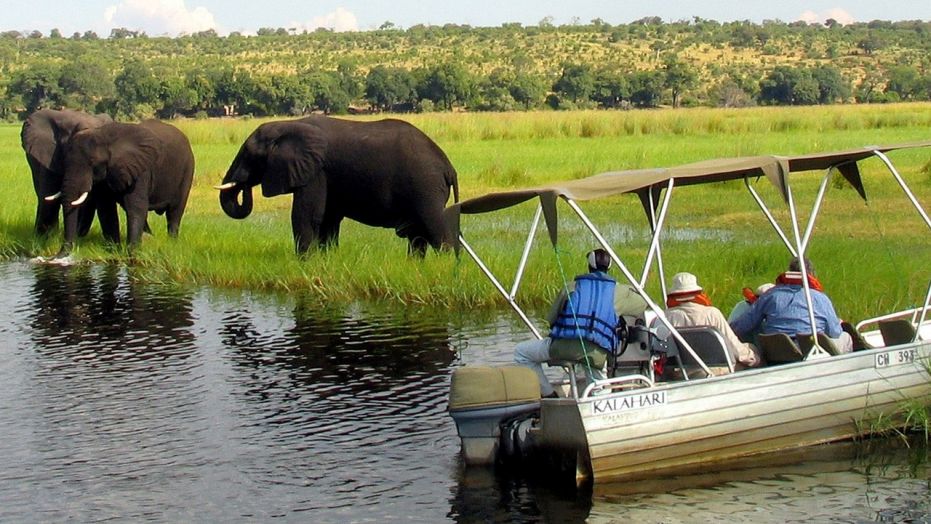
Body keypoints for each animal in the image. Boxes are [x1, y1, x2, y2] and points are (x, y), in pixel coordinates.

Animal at [46, 119, 195, 256]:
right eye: (64, 162)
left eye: (93, 163)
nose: (58, 255)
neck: (104, 136)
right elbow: (106, 208)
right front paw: (114, 251)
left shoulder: (140, 169)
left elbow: (136, 207)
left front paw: (132, 254)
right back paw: (149, 238)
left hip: (187, 169)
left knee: (175, 211)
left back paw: (172, 242)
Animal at [217, 115, 459, 256]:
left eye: (249, 154)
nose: (244, 183)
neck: (287, 123)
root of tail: (449, 167)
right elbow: (328, 218)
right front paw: (327, 260)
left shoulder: (316, 171)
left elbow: (307, 215)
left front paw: (304, 262)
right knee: (417, 236)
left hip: (426, 187)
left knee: (435, 228)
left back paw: (444, 266)